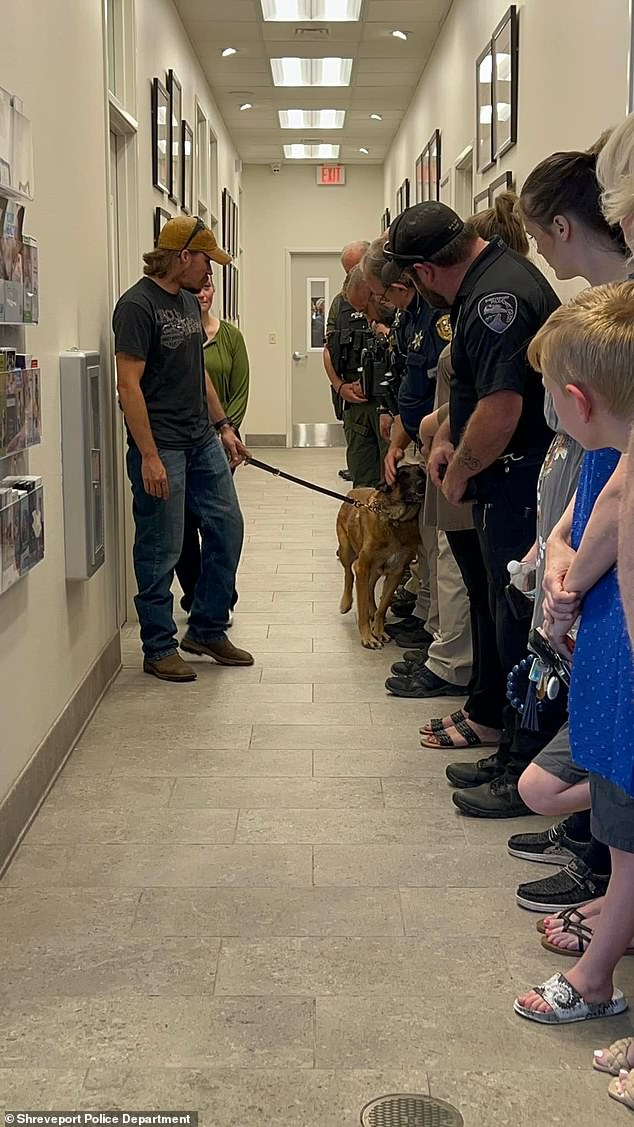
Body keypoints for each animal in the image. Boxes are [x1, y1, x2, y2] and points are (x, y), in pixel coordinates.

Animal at [337, 462, 425, 649]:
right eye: (403, 476)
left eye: (422, 473)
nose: (423, 484)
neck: (396, 521)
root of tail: (353, 491)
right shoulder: (362, 566)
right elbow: (362, 607)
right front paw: (367, 637)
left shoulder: (396, 572)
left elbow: (384, 605)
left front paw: (378, 631)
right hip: (347, 552)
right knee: (349, 574)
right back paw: (346, 602)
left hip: (376, 569)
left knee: (369, 586)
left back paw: (372, 609)